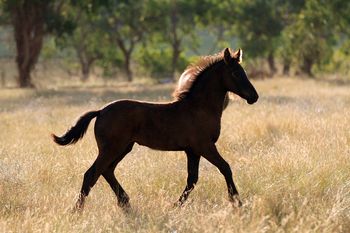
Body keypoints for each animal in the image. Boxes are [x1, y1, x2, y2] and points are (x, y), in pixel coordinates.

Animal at [52, 48, 260, 210]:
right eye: (235, 73)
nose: (254, 97)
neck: (199, 107)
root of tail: (101, 111)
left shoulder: (192, 151)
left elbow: (192, 179)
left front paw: (175, 206)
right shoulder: (204, 146)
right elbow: (225, 168)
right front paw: (237, 202)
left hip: (123, 148)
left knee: (106, 171)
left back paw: (125, 203)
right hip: (112, 148)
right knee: (92, 174)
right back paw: (77, 210)